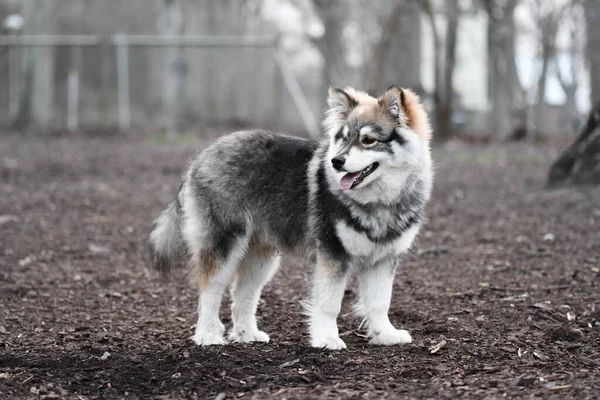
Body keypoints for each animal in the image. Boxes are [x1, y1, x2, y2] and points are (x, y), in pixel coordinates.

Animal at [149, 86, 432, 348]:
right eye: (342, 139)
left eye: (369, 140)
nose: (336, 161)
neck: (379, 202)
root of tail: (201, 156)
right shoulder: (333, 254)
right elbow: (330, 304)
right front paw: (327, 339)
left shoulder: (383, 259)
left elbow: (379, 303)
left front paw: (386, 335)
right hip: (224, 243)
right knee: (210, 289)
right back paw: (207, 335)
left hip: (260, 257)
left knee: (243, 295)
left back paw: (247, 334)